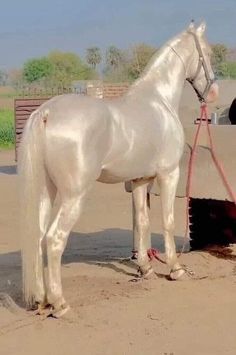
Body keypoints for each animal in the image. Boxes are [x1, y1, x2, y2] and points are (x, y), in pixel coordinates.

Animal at [18, 22, 218, 318]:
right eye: (209, 53)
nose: (214, 93)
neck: (158, 100)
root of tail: (46, 113)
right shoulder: (168, 174)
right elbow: (168, 221)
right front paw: (176, 269)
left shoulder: (140, 180)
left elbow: (142, 222)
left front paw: (145, 269)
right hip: (73, 196)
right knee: (54, 240)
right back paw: (60, 304)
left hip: (46, 191)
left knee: (39, 238)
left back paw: (43, 301)